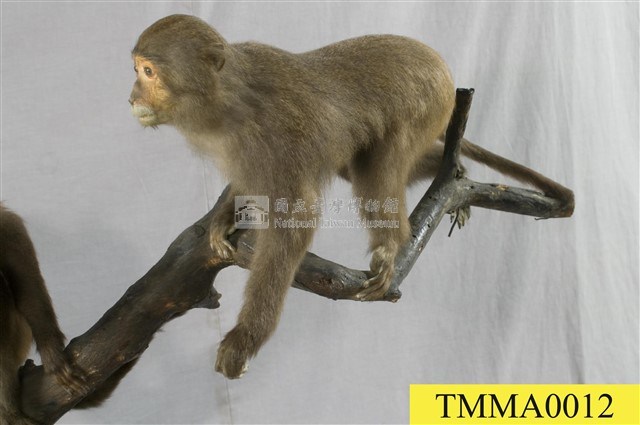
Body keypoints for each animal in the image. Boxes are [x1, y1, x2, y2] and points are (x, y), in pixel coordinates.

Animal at [129, 14, 574, 379]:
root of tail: (440, 65)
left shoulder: (277, 132)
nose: (132, 97)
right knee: (359, 163)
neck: (226, 100)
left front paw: (247, 337)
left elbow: (298, 218)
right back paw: (456, 172)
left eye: (148, 72)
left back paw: (394, 243)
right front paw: (224, 217)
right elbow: (249, 183)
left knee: (378, 169)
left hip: (429, 101)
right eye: (137, 70)